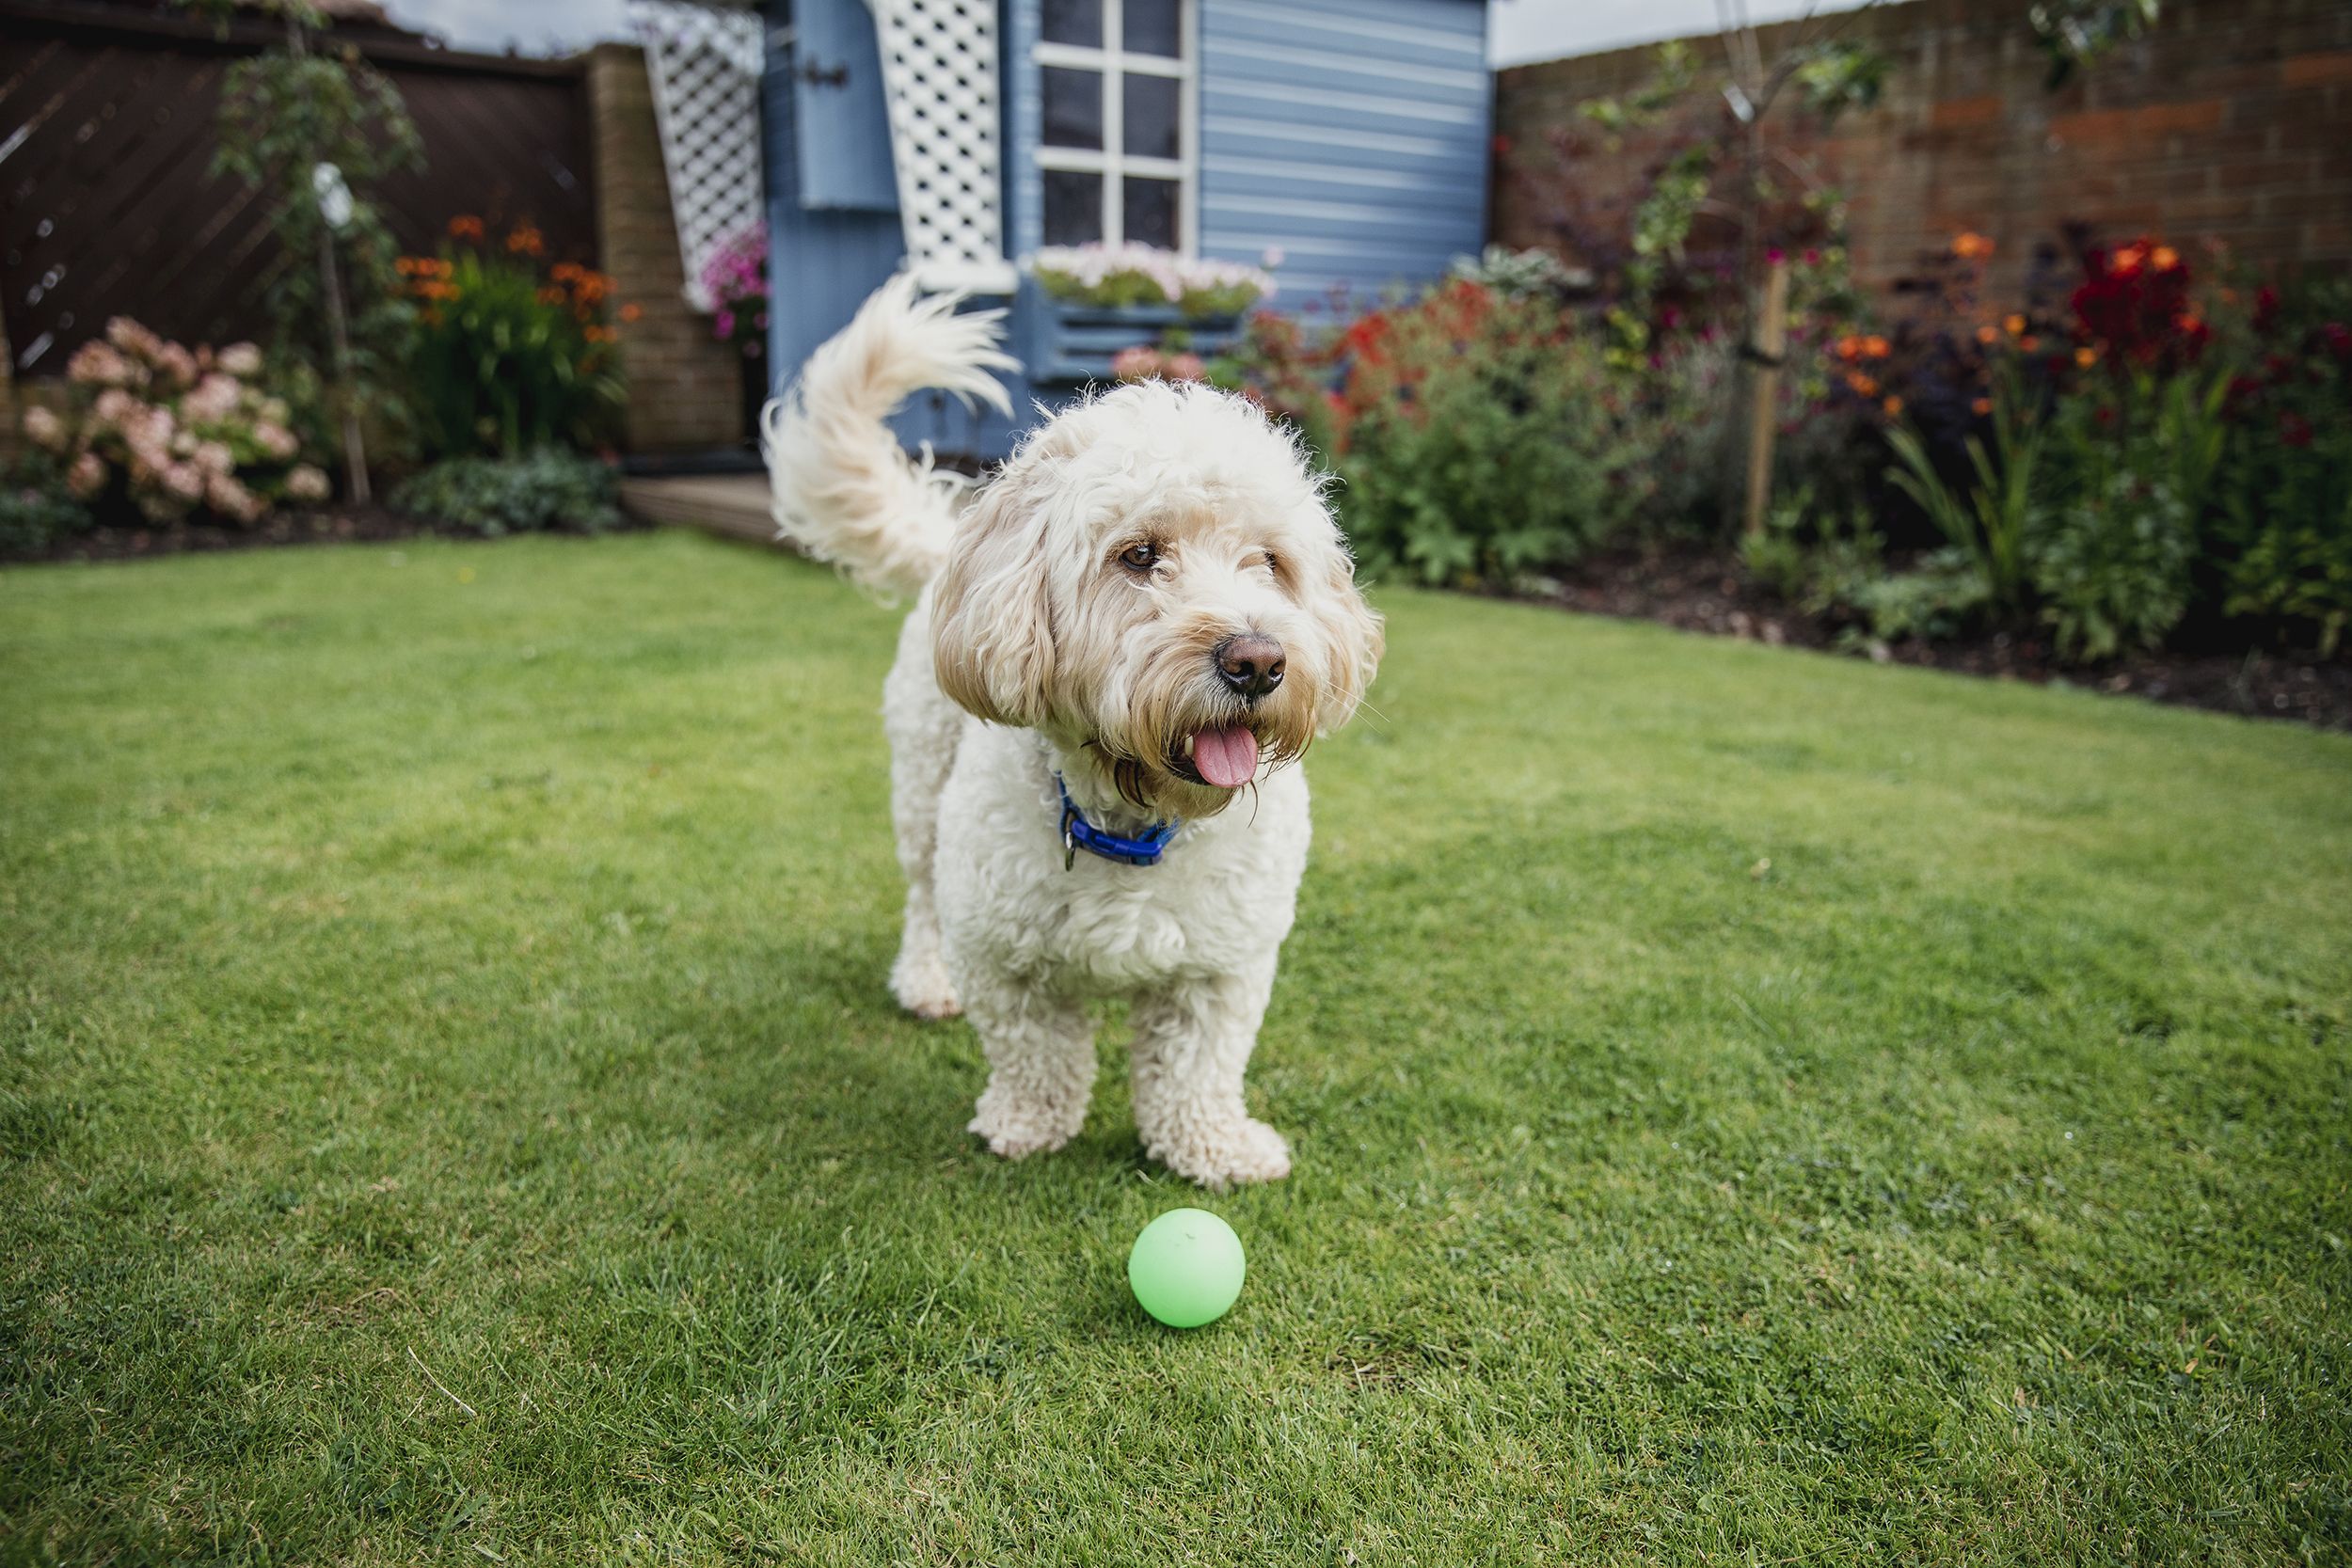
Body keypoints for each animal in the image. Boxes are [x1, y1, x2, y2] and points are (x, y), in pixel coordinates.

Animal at [762, 278, 1374, 1189]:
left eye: (1268, 561)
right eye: (1139, 555)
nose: (1257, 661)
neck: (1136, 820)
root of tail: (955, 544)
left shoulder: (1222, 967)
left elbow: (1198, 1066)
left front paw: (1212, 1146)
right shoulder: (1004, 952)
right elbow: (1035, 1051)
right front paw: (1027, 1124)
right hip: (923, 794)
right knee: (921, 897)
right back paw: (926, 979)